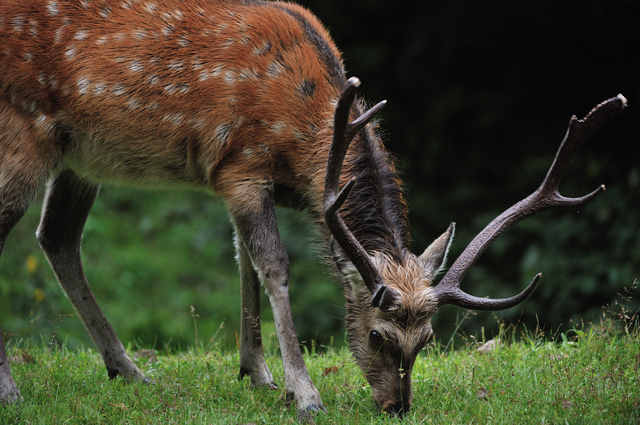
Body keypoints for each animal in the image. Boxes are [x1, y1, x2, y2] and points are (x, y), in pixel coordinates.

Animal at [0, 0, 628, 416]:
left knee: (57, 238)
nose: (397, 407)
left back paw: (128, 369)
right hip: (23, 131)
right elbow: (274, 267)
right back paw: (13, 387)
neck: (303, 138)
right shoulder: (243, 165)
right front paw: (303, 391)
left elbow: (244, 264)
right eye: (379, 335)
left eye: (427, 340)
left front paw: (255, 371)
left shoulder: (234, 182)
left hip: (79, 157)